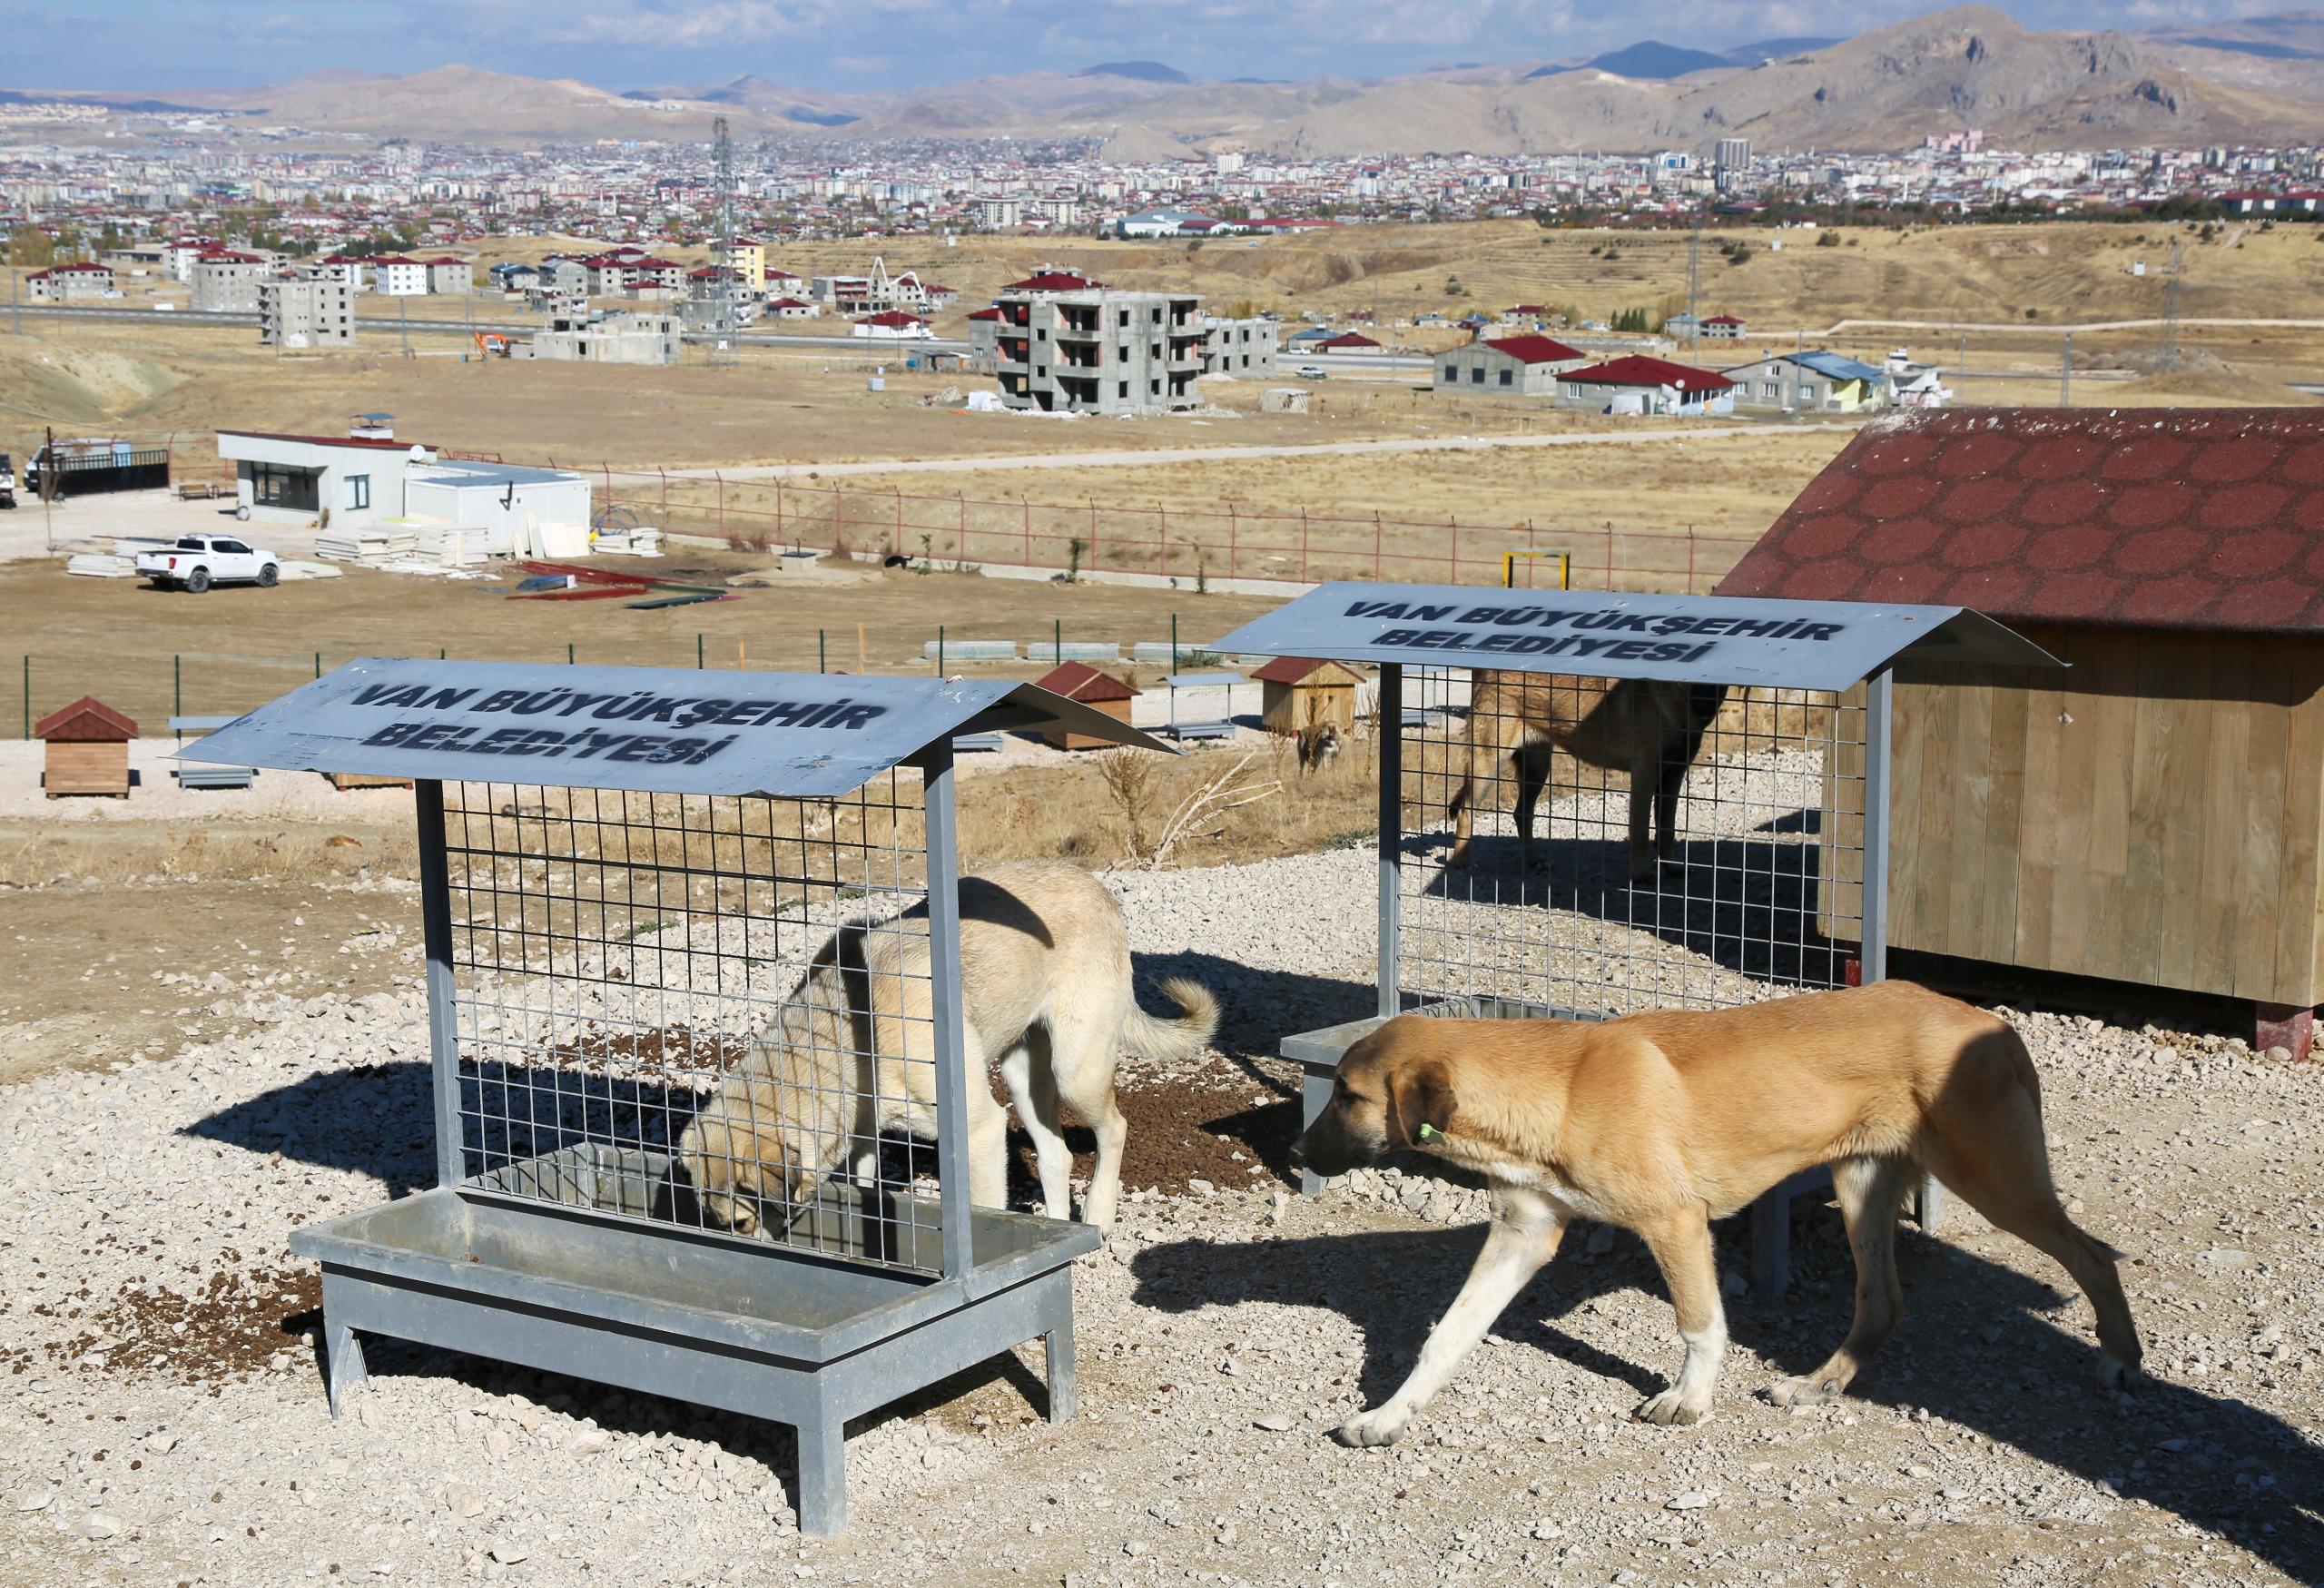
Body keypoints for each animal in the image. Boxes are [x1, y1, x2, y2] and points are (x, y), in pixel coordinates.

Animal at [678, 864, 1217, 1237]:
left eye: (739, 1223)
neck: (849, 1037)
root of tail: (1096, 885)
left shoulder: (981, 1130)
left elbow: (986, 1206)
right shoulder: (862, 1139)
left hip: (1075, 1070)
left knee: (1115, 1128)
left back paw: (1099, 1215)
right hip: (1023, 1077)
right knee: (1056, 1155)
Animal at [1292, 981, 2138, 1441]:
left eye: (1349, 1096)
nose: (1298, 1150)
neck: (1556, 1086)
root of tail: (1990, 1020)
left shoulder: (1675, 1221)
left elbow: (1700, 1324)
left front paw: (1689, 1400)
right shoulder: (1522, 1233)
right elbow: (1448, 1336)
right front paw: (1387, 1416)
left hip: (1995, 1180)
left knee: (2094, 1254)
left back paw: (2122, 1359)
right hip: (1862, 1183)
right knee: (1882, 1302)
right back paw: (1814, 1385)